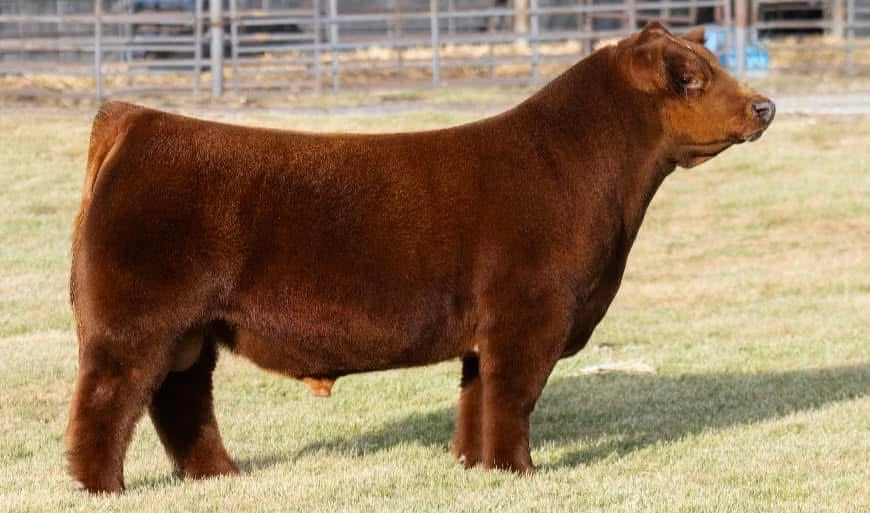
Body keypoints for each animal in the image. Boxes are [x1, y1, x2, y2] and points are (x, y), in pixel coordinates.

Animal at [65, 22, 775, 493]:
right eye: (691, 78)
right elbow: (513, 396)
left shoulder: (487, 329)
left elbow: (477, 397)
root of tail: (138, 119)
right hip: (137, 322)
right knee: (108, 400)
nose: (764, 105)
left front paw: (473, 465)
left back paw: (219, 476)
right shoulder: (530, 313)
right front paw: (518, 471)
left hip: (191, 330)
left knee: (179, 398)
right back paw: (104, 487)